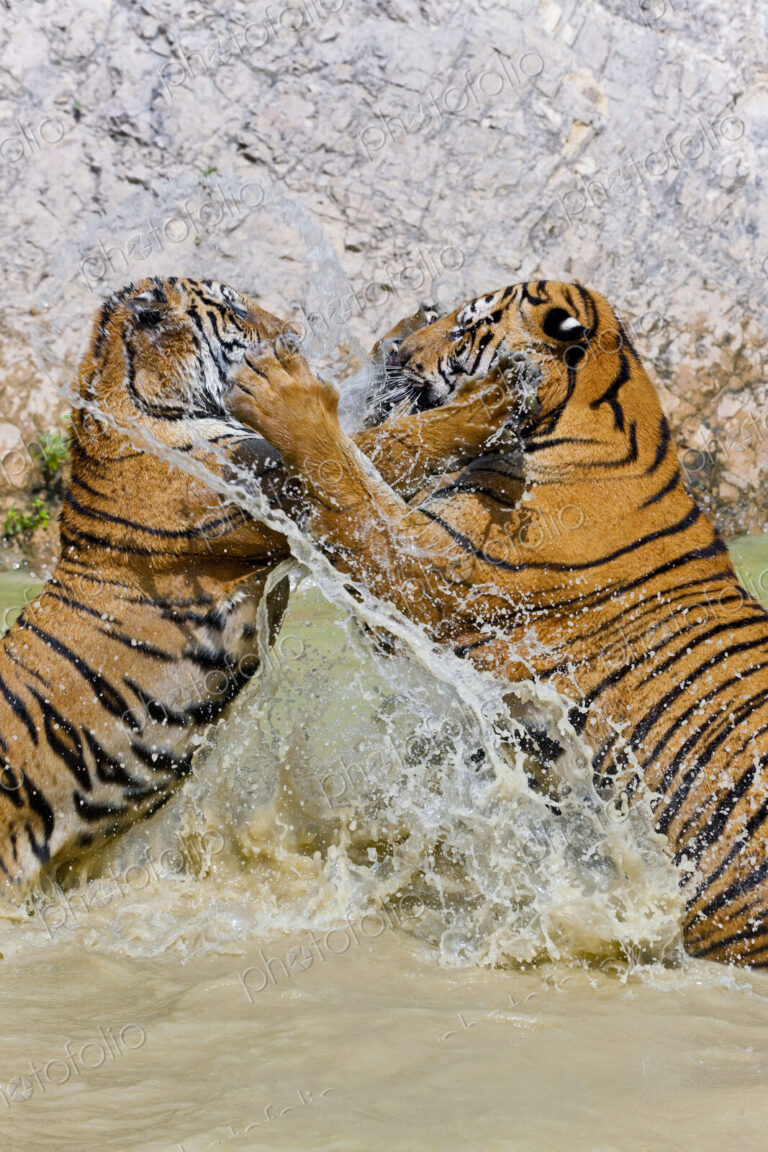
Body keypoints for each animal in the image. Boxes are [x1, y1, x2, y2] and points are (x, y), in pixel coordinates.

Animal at [0, 276, 516, 896]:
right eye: (234, 309)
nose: (292, 332)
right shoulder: (277, 490)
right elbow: (389, 442)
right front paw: (492, 399)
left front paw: (408, 330)